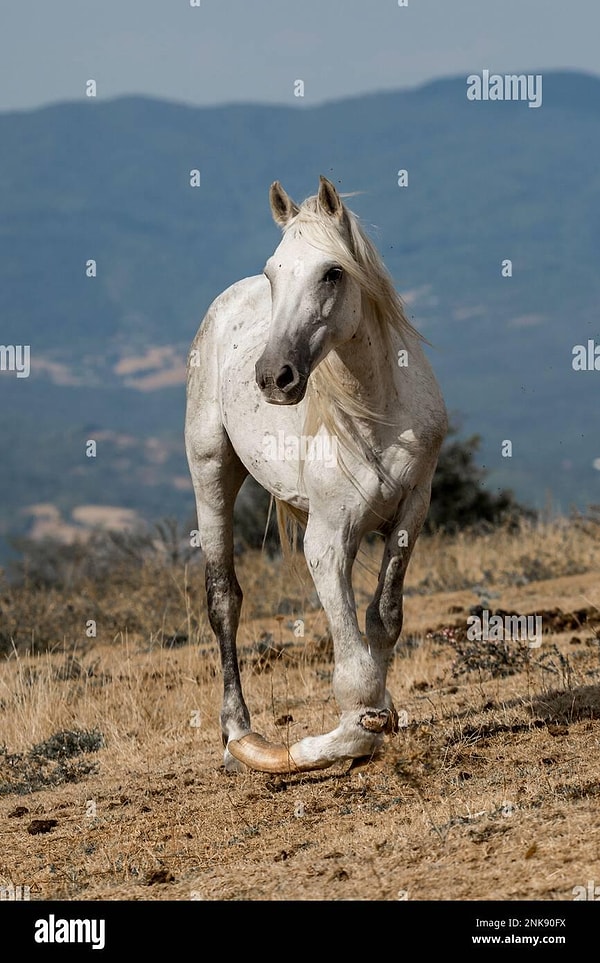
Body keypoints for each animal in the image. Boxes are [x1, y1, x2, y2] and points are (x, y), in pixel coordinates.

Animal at [185, 175, 448, 776]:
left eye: (332, 272)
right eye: (273, 273)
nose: (273, 377)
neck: (375, 411)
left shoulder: (413, 507)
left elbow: (383, 618)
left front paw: (382, 713)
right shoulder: (328, 538)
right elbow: (351, 660)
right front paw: (354, 732)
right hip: (210, 472)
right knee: (223, 601)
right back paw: (237, 736)